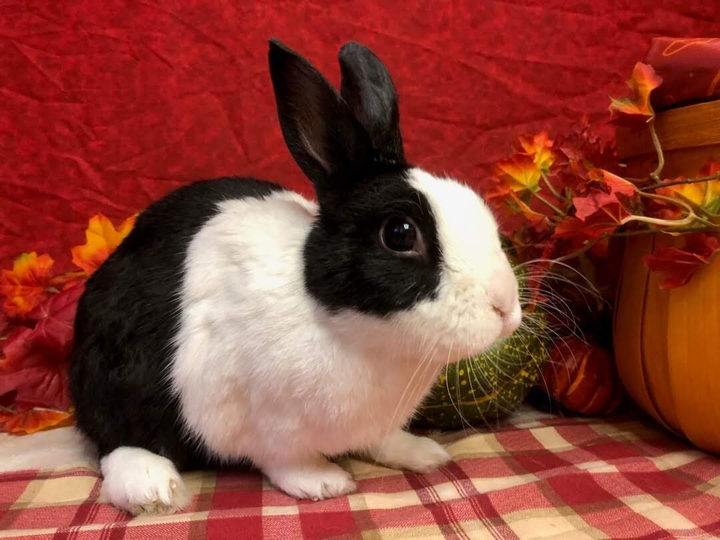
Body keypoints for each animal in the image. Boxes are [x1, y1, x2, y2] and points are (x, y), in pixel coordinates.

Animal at [69, 39, 522, 516]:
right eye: (399, 234)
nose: (505, 305)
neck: (355, 333)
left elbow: (379, 439)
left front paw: (421, 452)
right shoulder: (251, 417)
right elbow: (283, 459)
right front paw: (323, 483)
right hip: (117, 369)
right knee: (113, 440)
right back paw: (153, 490)